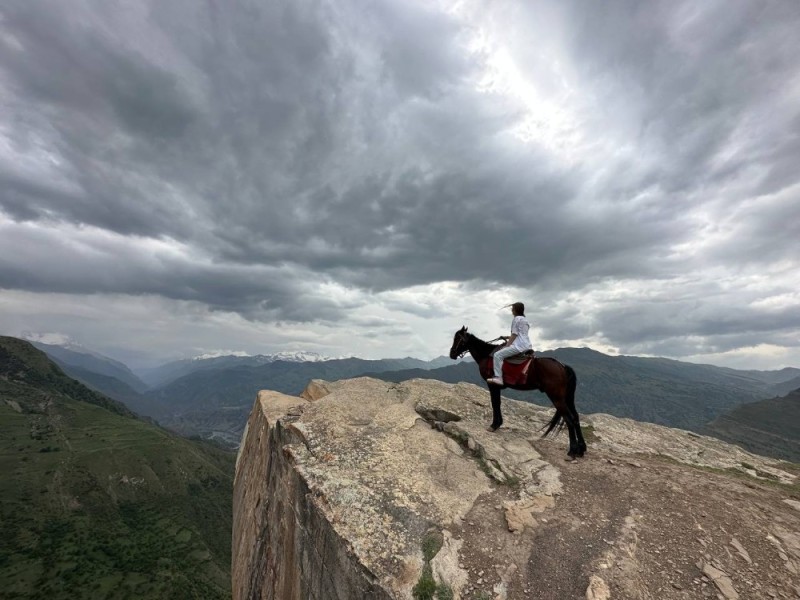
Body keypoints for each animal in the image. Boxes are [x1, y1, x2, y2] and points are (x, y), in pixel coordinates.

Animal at [450, 326, 588, 458]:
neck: (486, 355)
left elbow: (495, 404)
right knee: (576, 418)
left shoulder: (492, 385)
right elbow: (498, 404)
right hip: (567, 398)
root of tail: (562, 366)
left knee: (569, 420)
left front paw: (494, 425)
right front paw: (498, 424)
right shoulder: (496, 387)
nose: (451, 354)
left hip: (557, 398)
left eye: (458, 338)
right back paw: (581, 449)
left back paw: (572, 451)